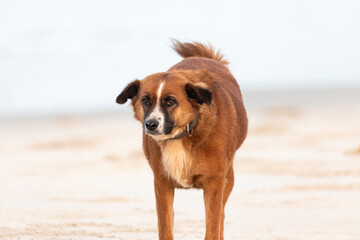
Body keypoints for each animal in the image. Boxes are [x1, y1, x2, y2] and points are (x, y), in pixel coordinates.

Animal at [115, 40, 248, 239]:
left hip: (227, 179)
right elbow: (165, 227)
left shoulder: (214, 184)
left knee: (222, 216)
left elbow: (213, 226)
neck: (181, 135)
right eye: (145, 100)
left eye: (171, 101)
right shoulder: (162, 183)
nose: (151, 124)